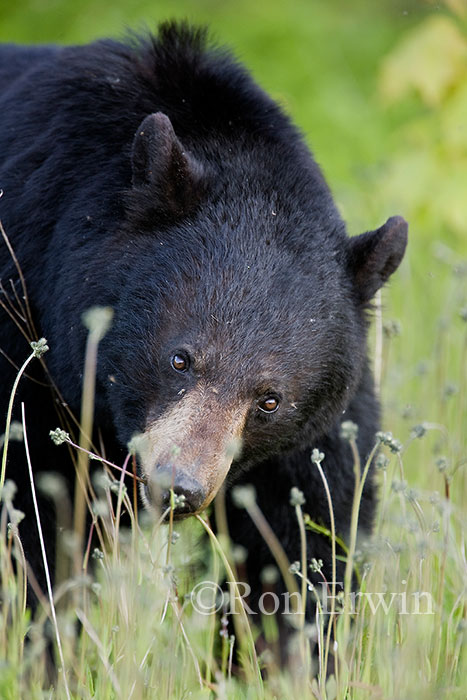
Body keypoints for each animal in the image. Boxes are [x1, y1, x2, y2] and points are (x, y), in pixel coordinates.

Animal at [0, 22, 407, 651]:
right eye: (180, 359)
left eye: (270, 400)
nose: (180, 486)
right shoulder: (26, 358)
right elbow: (40, 522)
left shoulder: (314, 436)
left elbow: (306, 539)